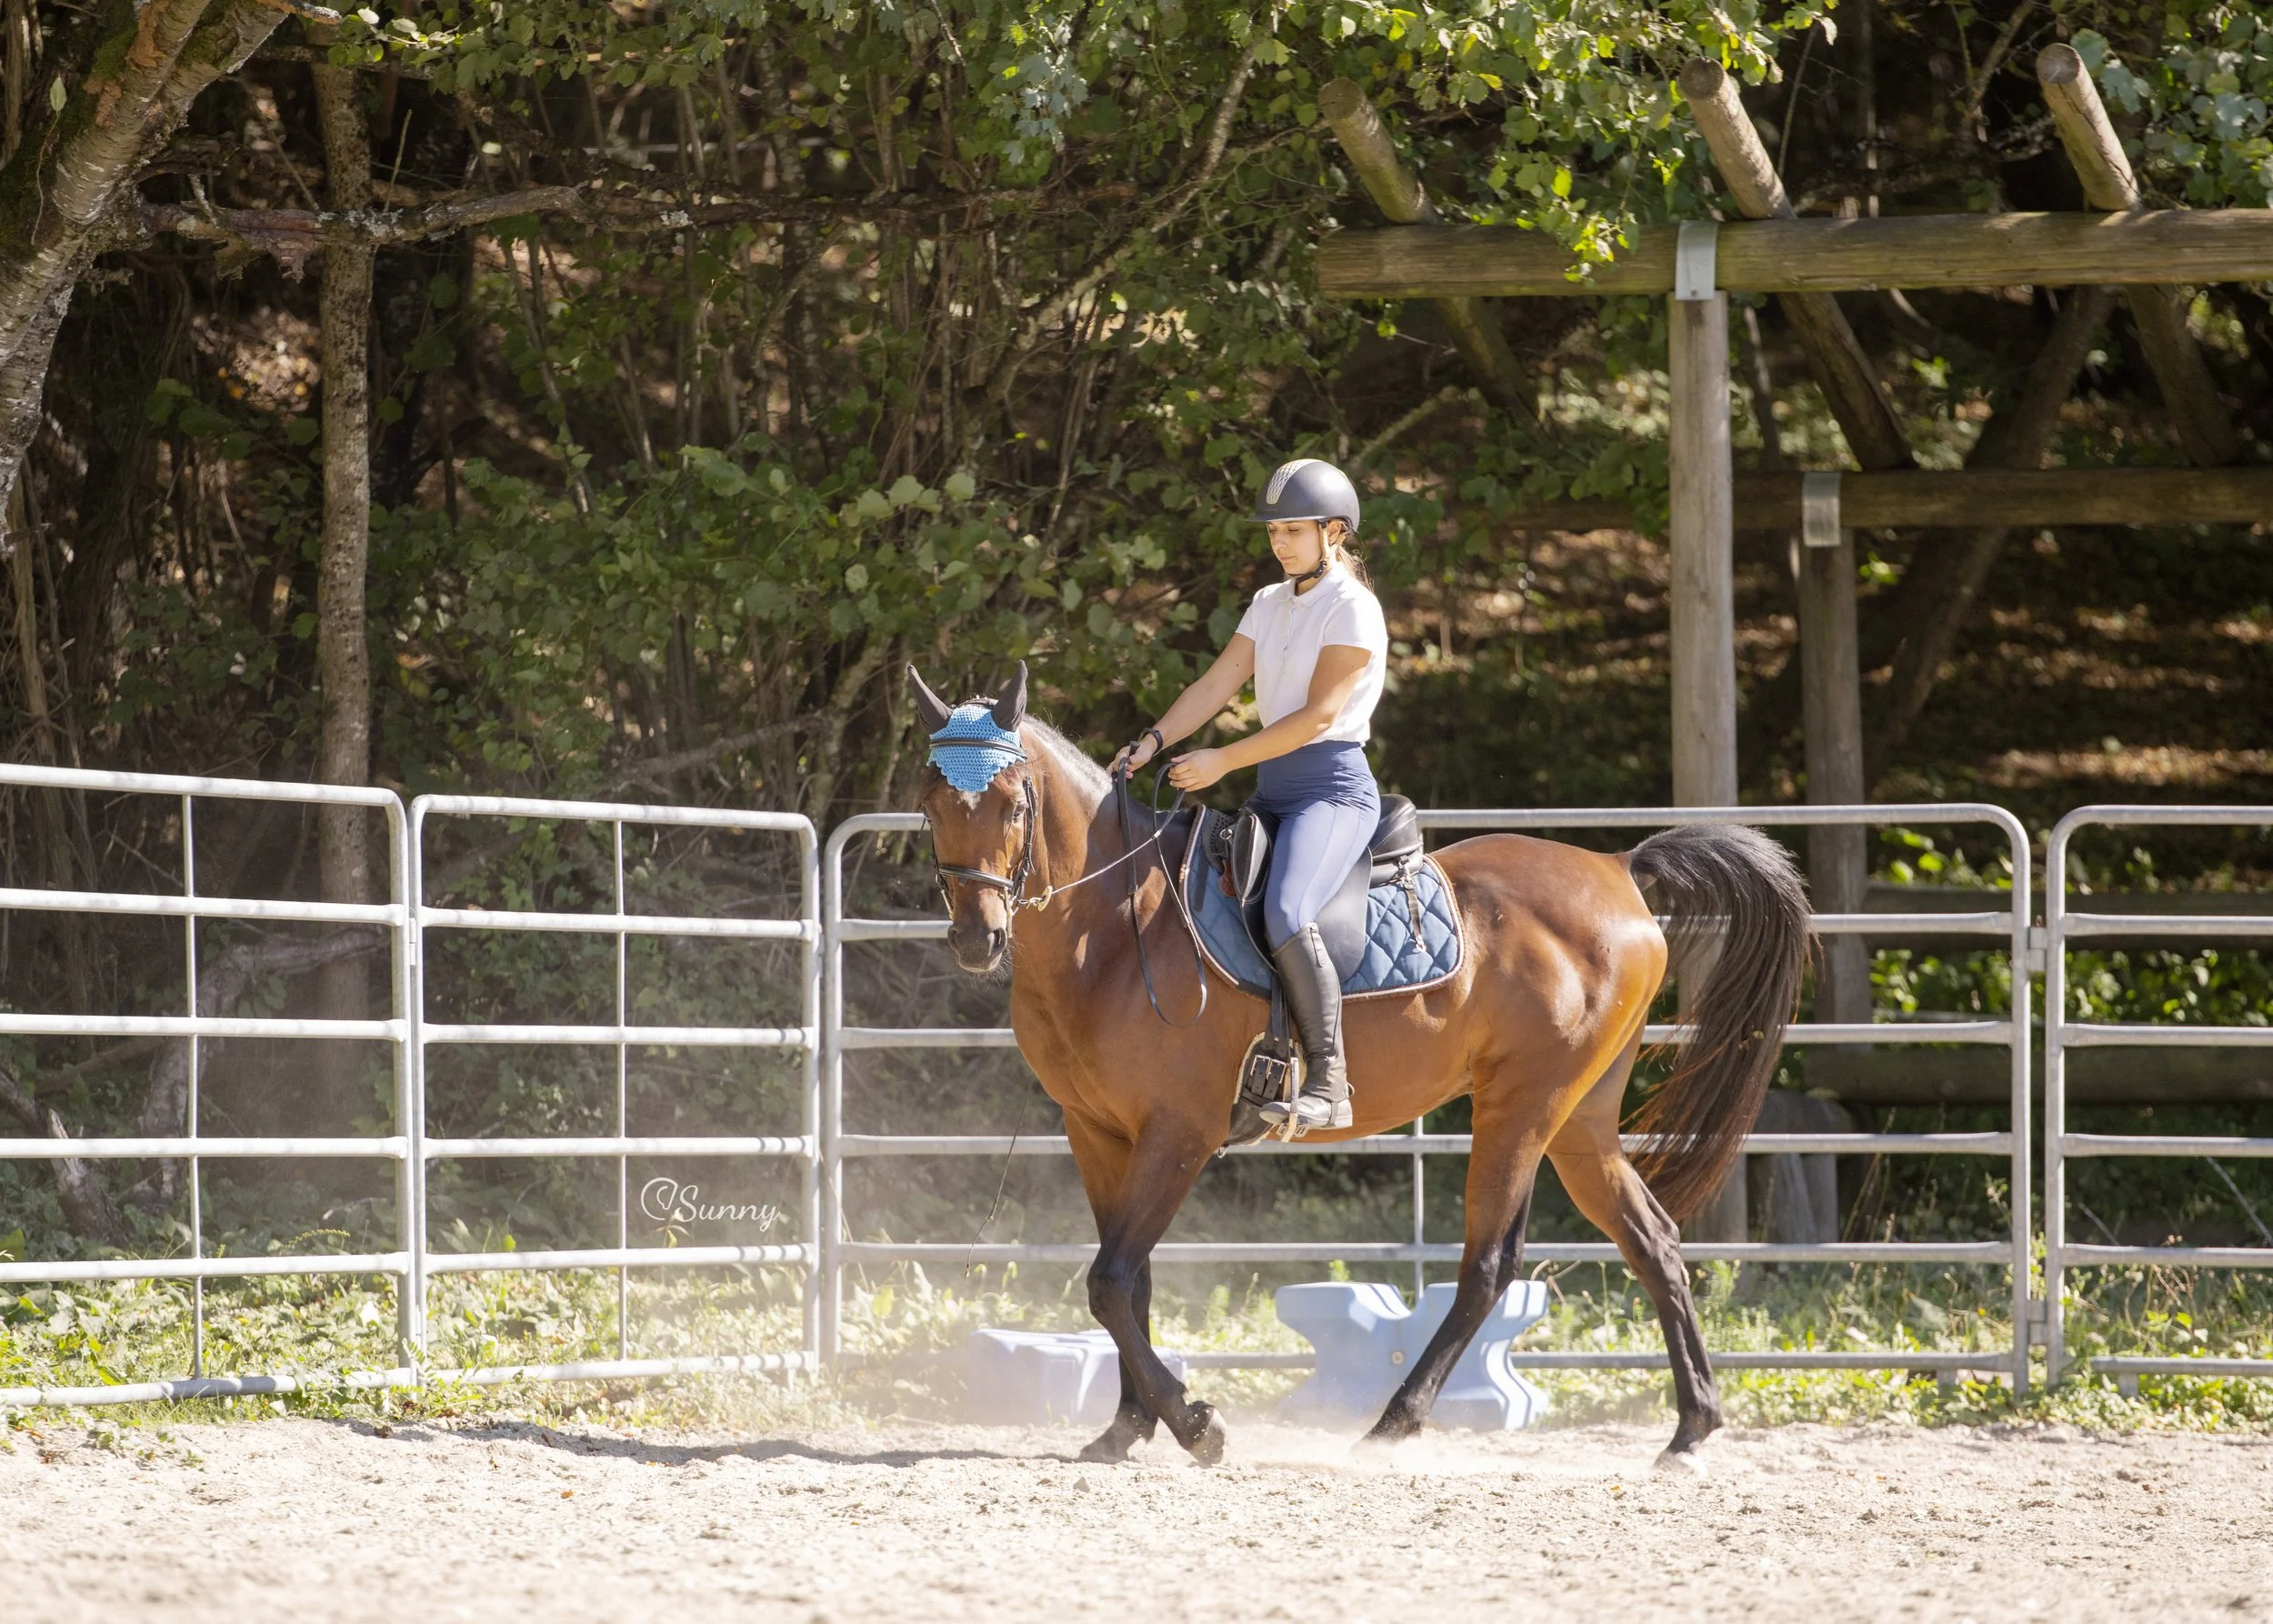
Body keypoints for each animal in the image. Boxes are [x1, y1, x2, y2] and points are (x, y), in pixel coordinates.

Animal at [910, 663, 1812, 1467]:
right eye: (929, 802)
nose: (976, 939)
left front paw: (1196, 1425)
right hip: (1578, 1119)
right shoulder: (1098, 1134)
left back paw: (1393, 1424)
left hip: (1523, 1103)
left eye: (1012, 801)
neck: (1118, 923)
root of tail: (1618, 871)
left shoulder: (1179, 1133)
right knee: (1652, 1240)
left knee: (1489, 1264)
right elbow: (1129, 1283)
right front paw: (1128, 1428)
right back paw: (1691, 1431)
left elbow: (1109, 1279)